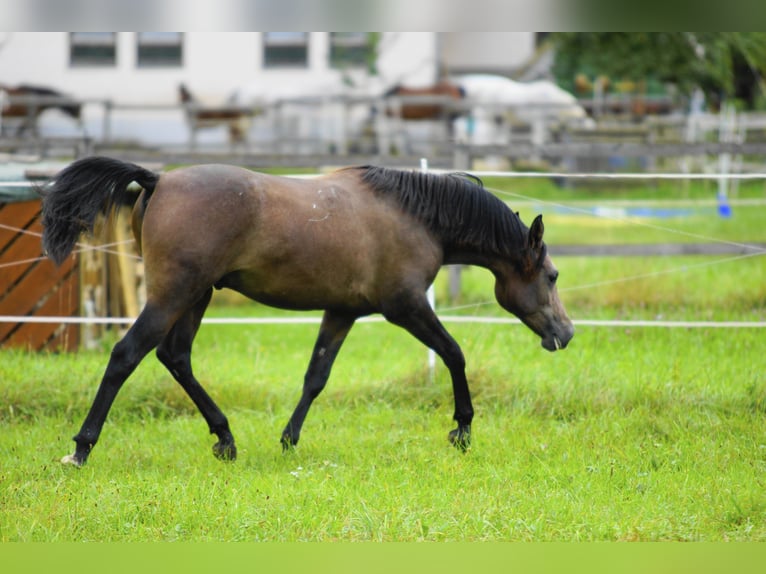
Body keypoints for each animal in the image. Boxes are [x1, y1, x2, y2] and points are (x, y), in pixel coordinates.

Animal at [39, 156, 572, 468]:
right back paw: (81, 448)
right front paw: (462, 429)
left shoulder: (341, 312)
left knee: (176, 358)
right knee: (126, 355)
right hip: (174, 293)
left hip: (196, 296)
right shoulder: (406, 307)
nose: (565, 334)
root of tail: (158, 178)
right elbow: (454, 354)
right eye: (552, 276)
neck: (412, 216)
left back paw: (226, 439)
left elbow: (316, 377)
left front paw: (288, 439)